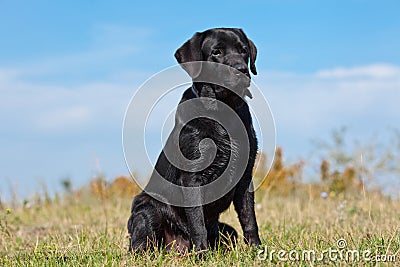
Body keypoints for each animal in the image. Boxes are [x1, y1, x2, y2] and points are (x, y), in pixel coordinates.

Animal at [126, 28, 260, 254]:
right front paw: (202, 254)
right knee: (139, 246)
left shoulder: (245, 177)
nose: (241, 70)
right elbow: (197, 221)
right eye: (216, 52)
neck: (223, 110)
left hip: (228, 230)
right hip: (146, 208)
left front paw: (256, 250)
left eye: (243, 51)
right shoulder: (192, 178)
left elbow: (249, 218)